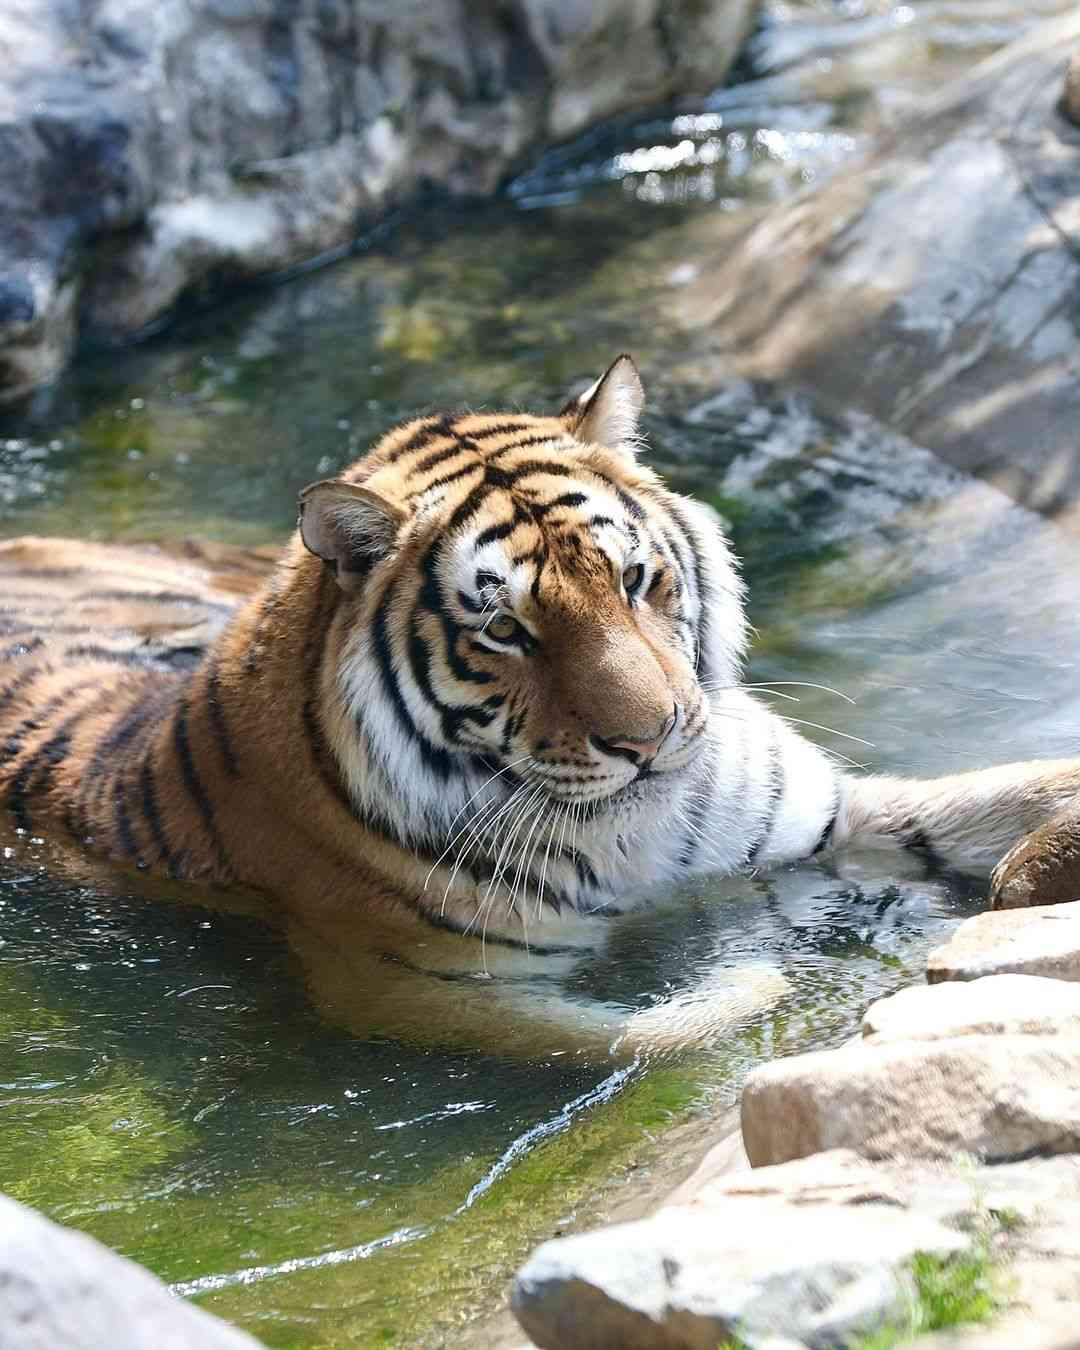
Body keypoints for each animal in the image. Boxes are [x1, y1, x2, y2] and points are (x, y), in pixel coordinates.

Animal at [1, 355, 1077, 1056]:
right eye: (505, 629)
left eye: (635, 580)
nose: (651, 740)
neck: (640, 838)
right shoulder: (409, 982)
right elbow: (643, 1035)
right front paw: (753, 972)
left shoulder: (824, 815)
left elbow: (1001, 791)